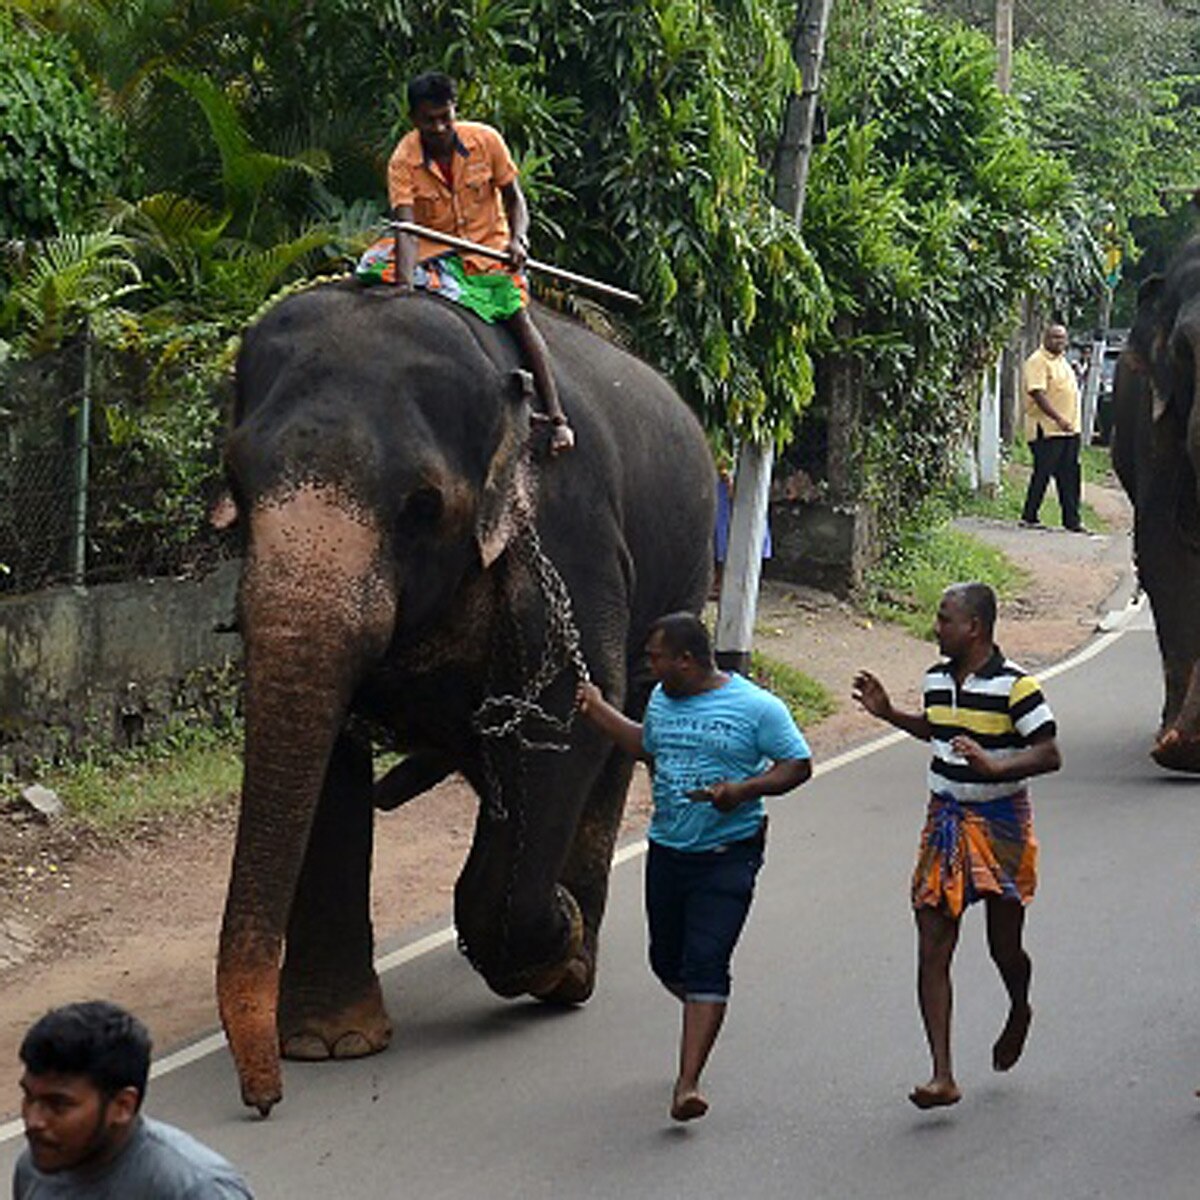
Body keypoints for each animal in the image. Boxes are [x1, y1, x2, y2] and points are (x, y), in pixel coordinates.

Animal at [214, 280, 715, 1114]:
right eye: (237, 486)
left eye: (423, 506)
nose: (263, 1099)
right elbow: (329, 752)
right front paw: (330, 1044)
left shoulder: (569, 540)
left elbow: (567, 721)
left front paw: (558, 945)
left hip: (678, 587)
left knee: (617, 740)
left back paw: (576, 964)